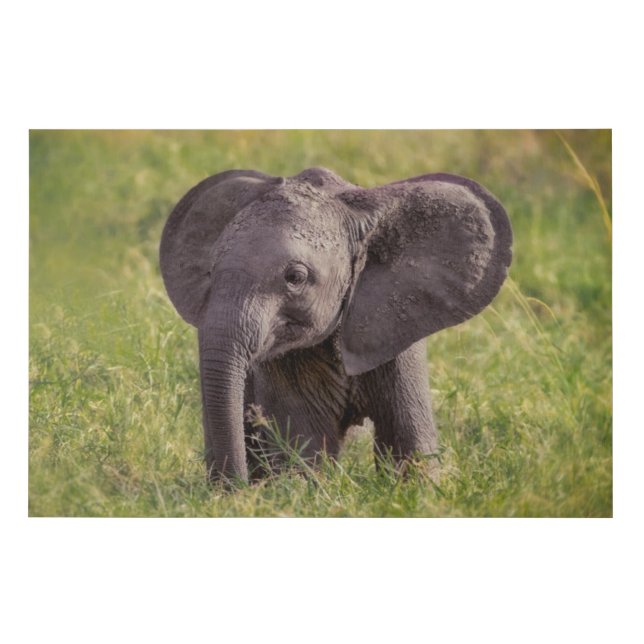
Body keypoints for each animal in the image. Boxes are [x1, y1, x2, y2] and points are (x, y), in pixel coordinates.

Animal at [159, 166, 512, 484]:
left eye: (295, 278)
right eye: (210, 271)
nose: (237, 490)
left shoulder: (397, 333)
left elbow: (407, 443)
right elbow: (304, 446)